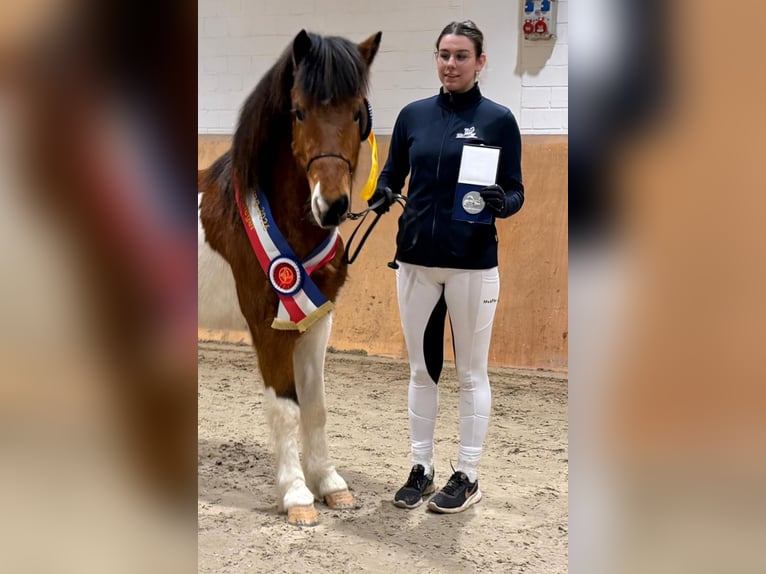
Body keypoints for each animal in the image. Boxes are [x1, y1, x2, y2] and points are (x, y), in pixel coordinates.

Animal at [198, 29, 382, 526]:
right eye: (299, 111)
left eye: (357, 112)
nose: (332, 205)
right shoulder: (269, 328)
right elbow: (285, 409)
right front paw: (297, 496)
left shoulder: (316, 322)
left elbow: (315, 406)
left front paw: (331, 485)